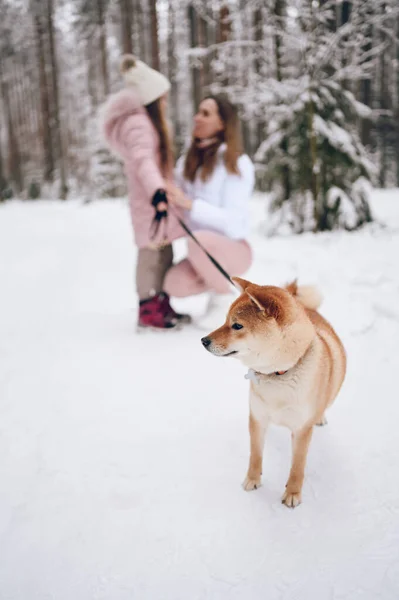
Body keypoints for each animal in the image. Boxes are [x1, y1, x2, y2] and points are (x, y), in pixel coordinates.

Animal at [202, 278, 348, 508]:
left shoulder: (302, 429)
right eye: (225, 320)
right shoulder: (257, 417)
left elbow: (297, 466)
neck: (279, 374)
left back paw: (321, 417)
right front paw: (252, 480)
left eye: (237, 325)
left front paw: (292, 493)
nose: (204, 340)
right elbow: (255, 455)